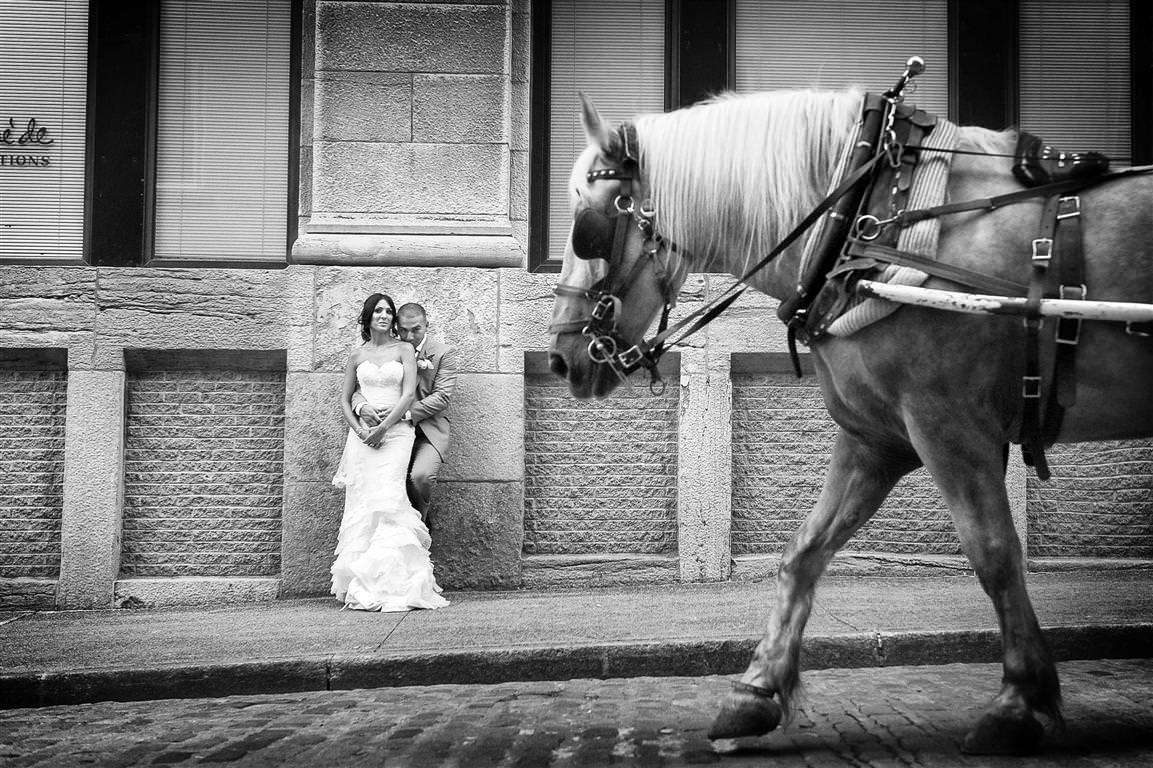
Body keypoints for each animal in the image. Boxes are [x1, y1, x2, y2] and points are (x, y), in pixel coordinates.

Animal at [546, 85, 1153, 751]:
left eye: (587, 225)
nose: (559, 355)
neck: (867, 221)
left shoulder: (947, 426)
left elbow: (994, 555)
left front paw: (1017, 703)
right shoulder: (878, 439)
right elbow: (804, 551)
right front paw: (755, 690)